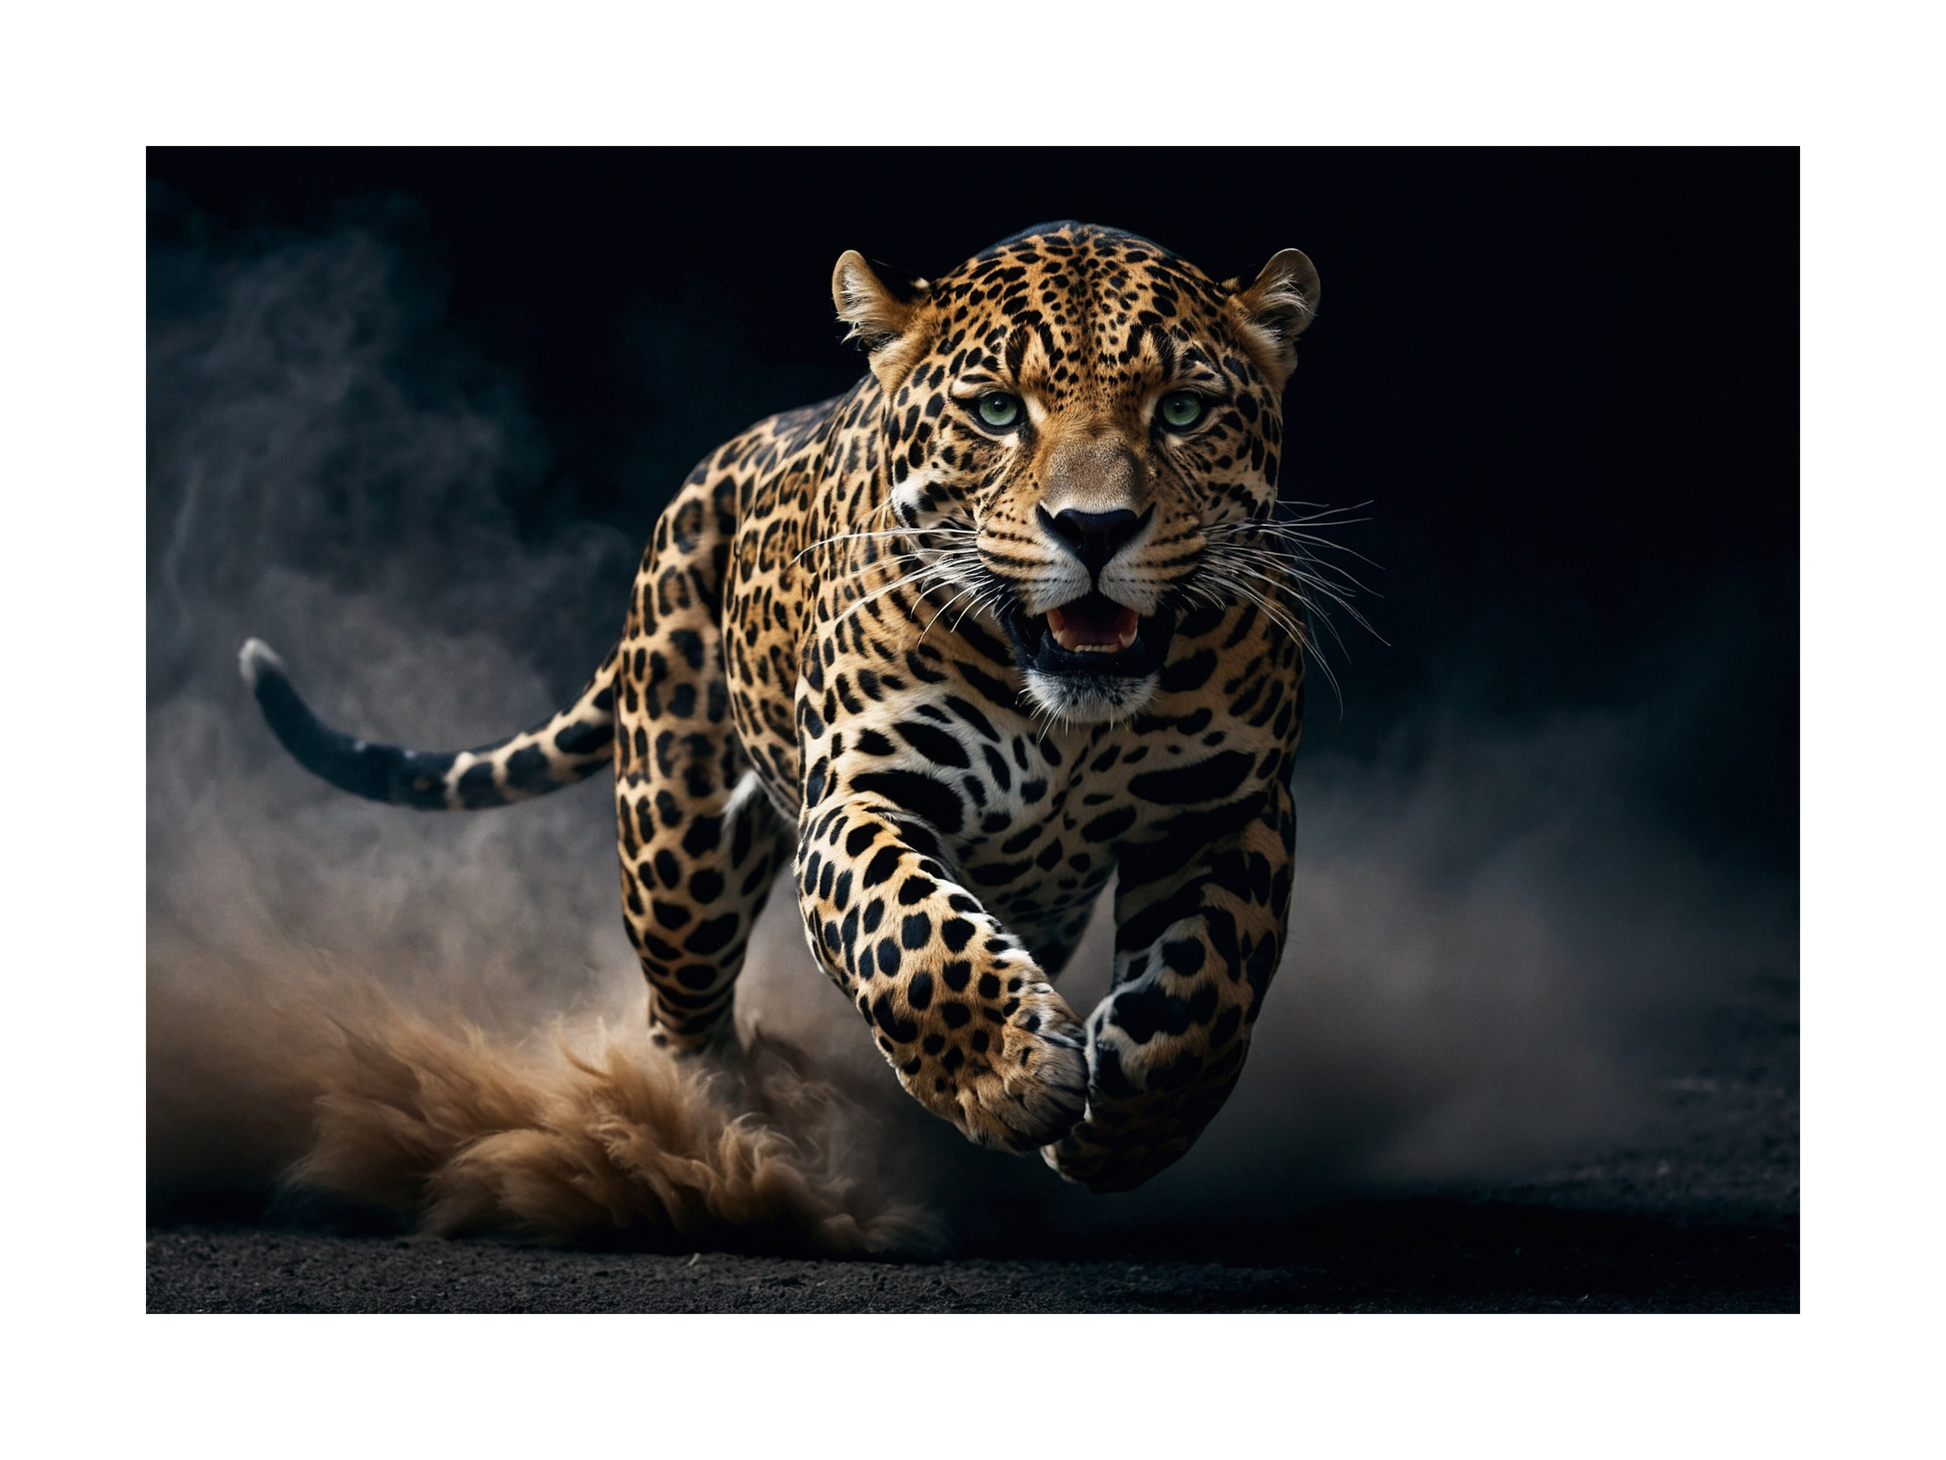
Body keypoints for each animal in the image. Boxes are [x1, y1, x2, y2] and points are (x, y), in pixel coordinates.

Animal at [240, 222, 1324, 1192]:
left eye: (1182, 410)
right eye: (995, 411)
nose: (1093, 529)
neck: (1071, 725)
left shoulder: (1230, 810)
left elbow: (1207, 985)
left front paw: (1131, 1125)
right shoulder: (859, 790)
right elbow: (912, 936)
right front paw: (1007, 1073)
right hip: (677, 849)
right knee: (680, 1016)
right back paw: (715, 1142)